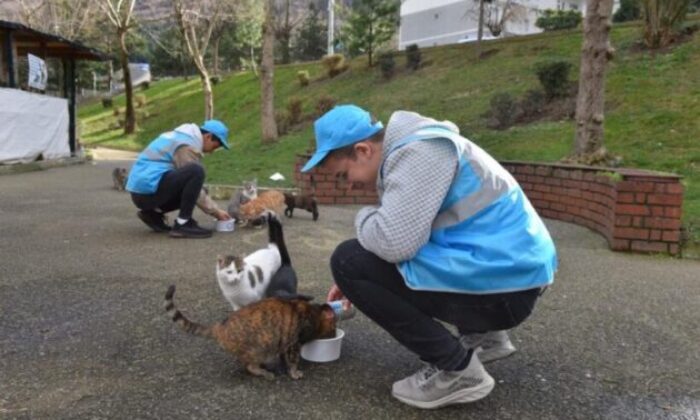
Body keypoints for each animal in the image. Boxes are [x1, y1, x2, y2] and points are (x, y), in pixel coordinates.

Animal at [167, 286, 336, 380]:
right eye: (334, 328)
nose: (334, 334)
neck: (314, 313)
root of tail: (220, 327)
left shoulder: (284, 342)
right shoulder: (293, 344)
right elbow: (293, 361)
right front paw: (294, 373)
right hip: (259, 348)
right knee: (249, 367)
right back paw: (264, 373)